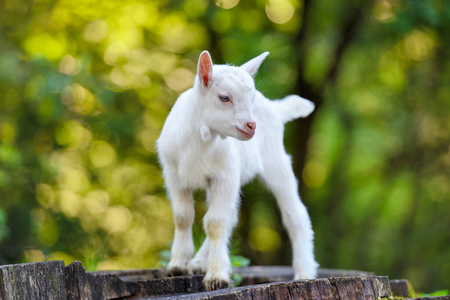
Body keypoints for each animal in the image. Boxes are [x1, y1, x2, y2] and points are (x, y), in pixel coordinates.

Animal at [156, 50, 318, 290]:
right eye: (224, 98)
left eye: (252, 99)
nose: (252, 126)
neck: (201, 141)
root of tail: (276, 109)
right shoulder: (175, 177)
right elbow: (183, 217)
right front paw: (177, 266)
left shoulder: (224, 177)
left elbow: (215, 222)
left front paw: (217, 277)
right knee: (230, 216)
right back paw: (198, 262)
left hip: (276, 163)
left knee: (295, 215)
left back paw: (304, 272)